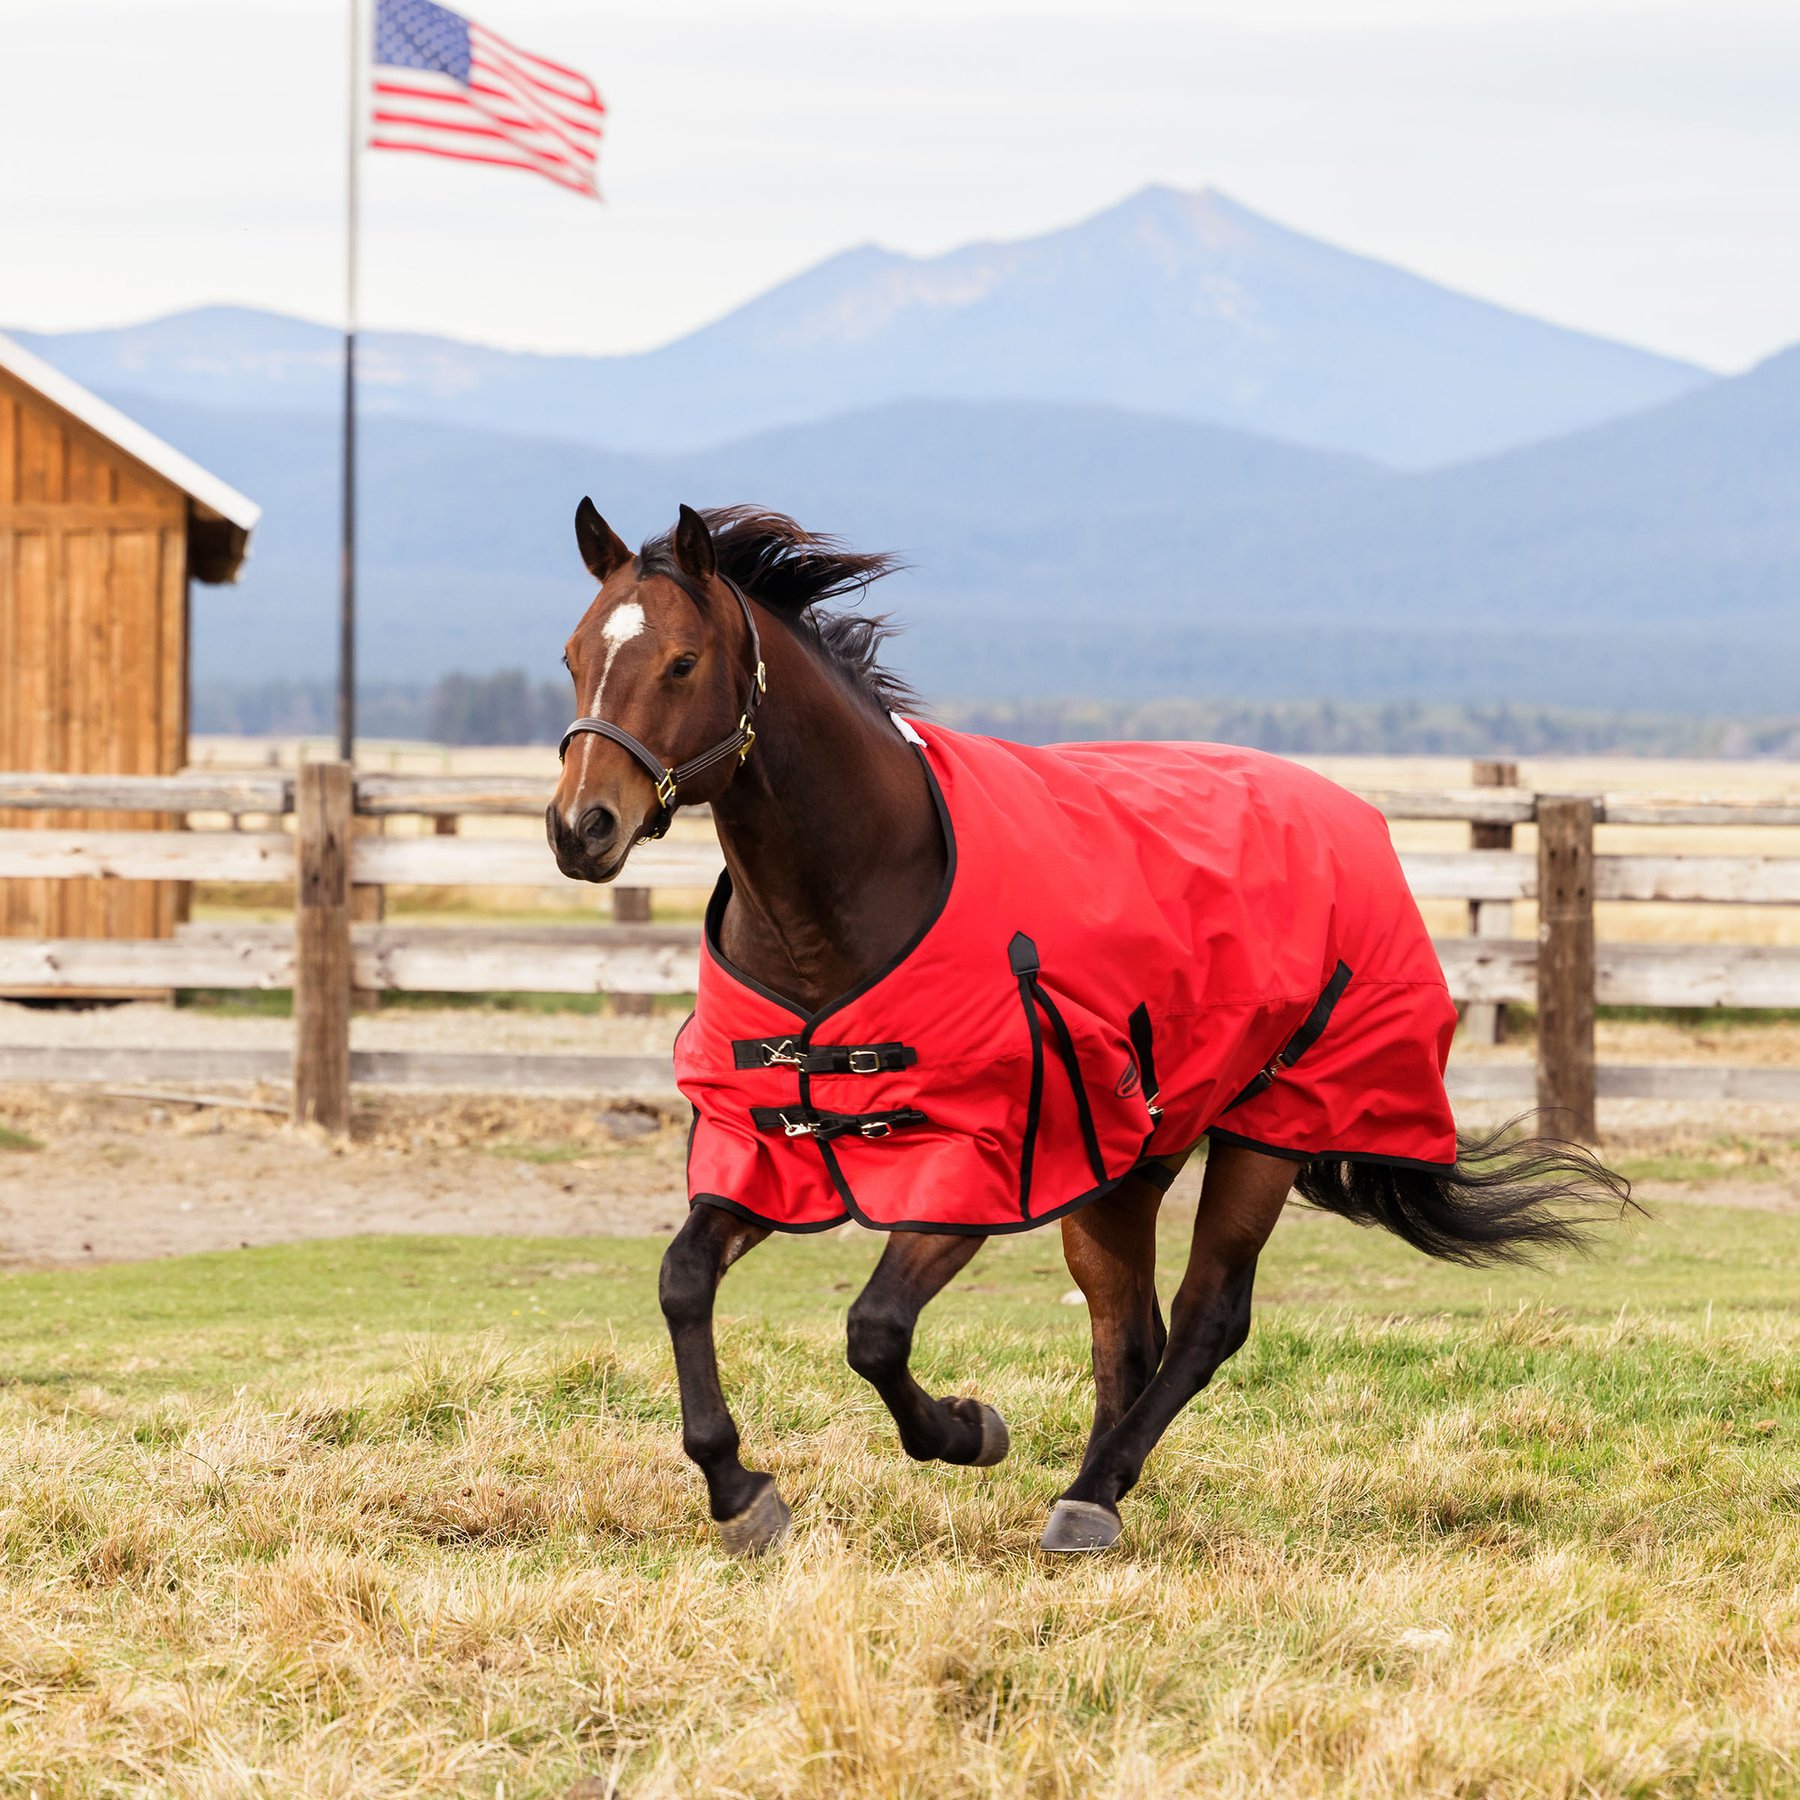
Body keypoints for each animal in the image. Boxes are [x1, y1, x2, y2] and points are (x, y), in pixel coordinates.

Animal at [547, 499, 1631, 1557]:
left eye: (682, 662)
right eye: (571, 654)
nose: (579, 828)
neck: (851, 896)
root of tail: (1349, 815)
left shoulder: (984, 1161)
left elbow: (876, 1328)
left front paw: (968, 1430)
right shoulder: (766, 1147)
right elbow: (684, 1279)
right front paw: (738, 1490)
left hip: (1268, 1132)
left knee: (1204, 1320)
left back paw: (1091, 1492)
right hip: (1123, 1166)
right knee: (1129, 1331)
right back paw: (1095, 1492)